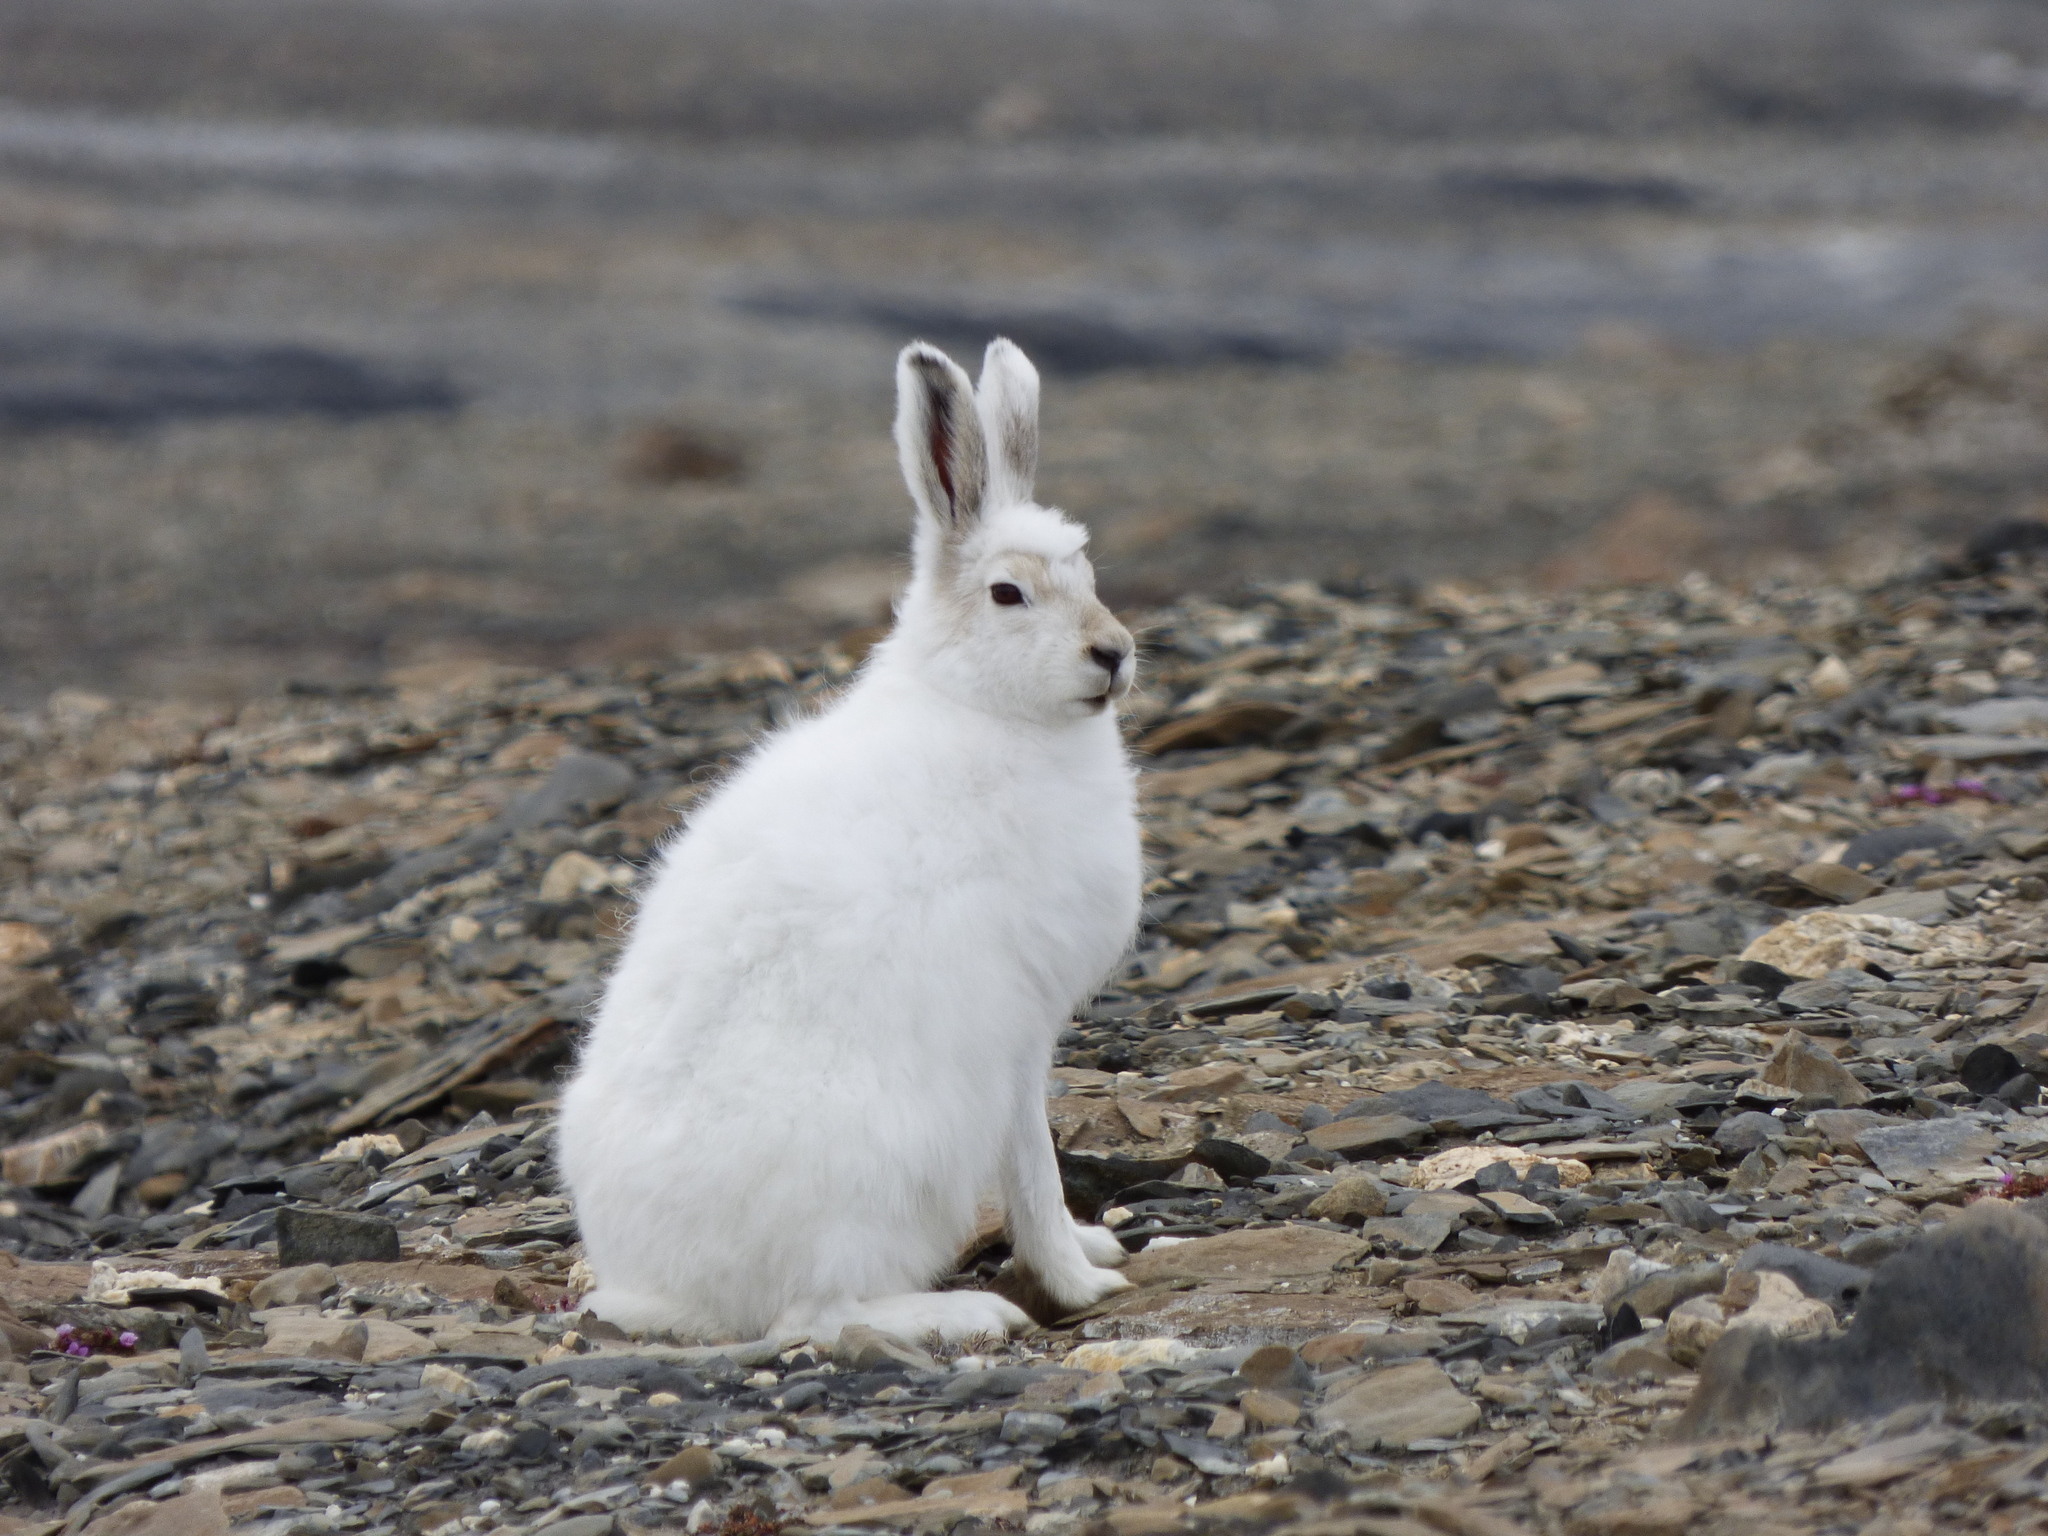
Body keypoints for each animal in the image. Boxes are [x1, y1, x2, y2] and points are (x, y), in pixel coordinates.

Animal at [558, 337, 1141, 1345]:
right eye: (1008, 593)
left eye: (1089, 575)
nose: (1114, 651)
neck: (979, 705)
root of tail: (676, 1290)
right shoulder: (1017, 1032)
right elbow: (1032, 1162)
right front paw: (1079, 1282)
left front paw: (1093, 1244)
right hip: (882, 1169)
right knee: (816, 1316)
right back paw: (967, 1310)